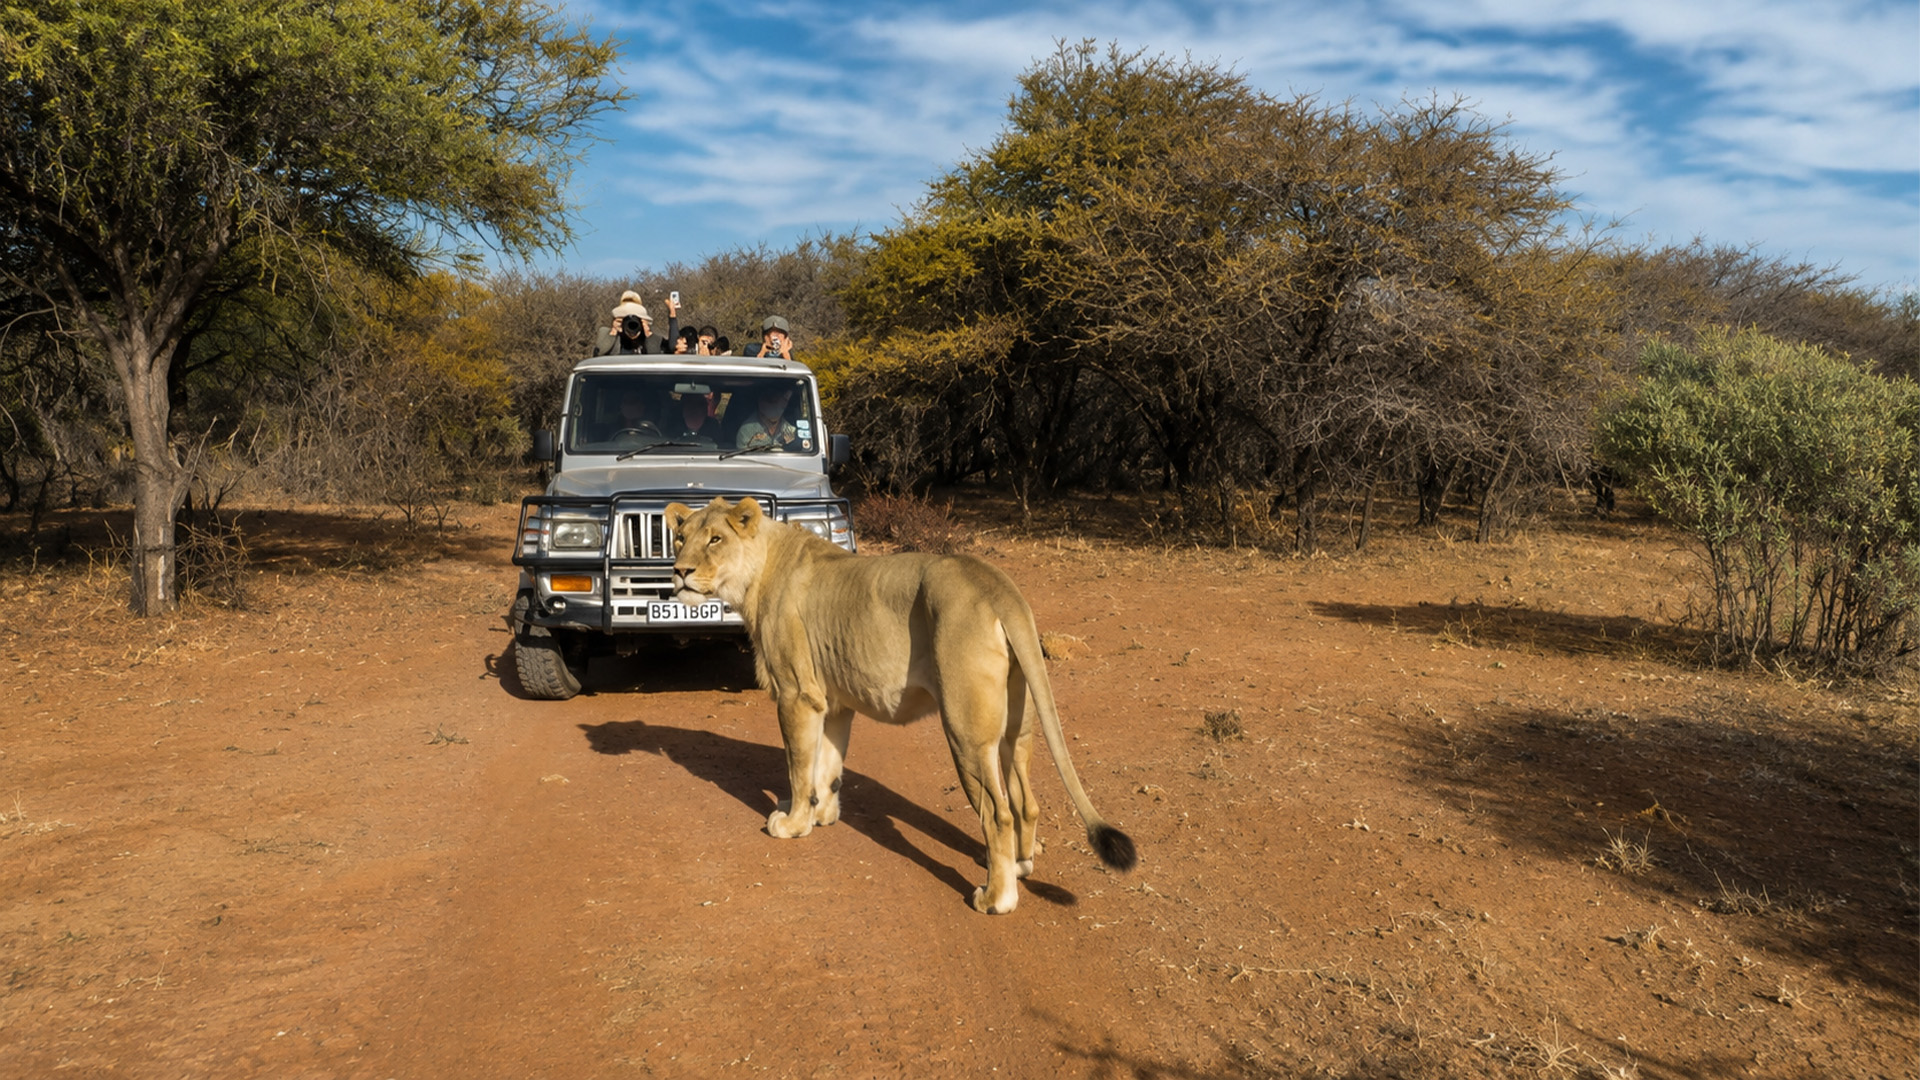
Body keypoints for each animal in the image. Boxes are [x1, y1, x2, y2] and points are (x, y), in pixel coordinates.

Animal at [662, 496, 1137, 914]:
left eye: (715, 539)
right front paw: (822, 816)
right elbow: (827, 767)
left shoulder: (798, 694)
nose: (678, 572)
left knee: (997, 814)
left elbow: (799, 768)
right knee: (1026, 801)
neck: (758, 570)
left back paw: (995, 898)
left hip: (965, 732)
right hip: (1017, 727)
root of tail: (996, 584)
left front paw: (793, 824)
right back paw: (1020, 866)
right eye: (680, 537)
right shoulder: (834, 701)